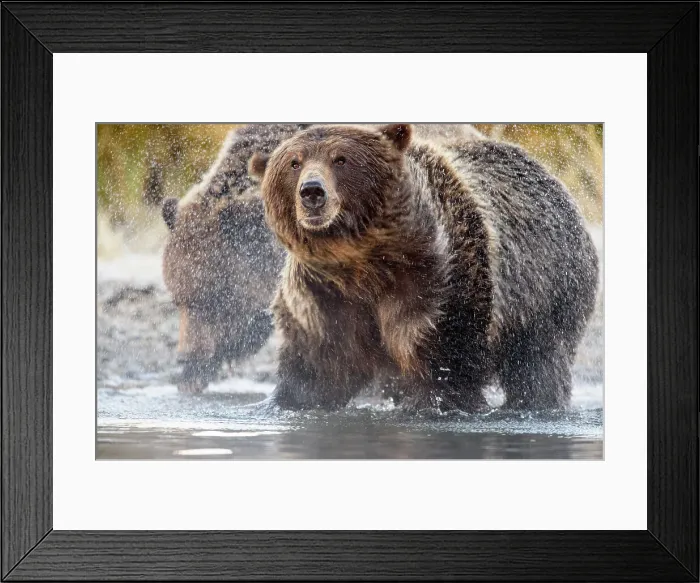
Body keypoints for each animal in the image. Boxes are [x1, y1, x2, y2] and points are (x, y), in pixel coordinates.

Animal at [249, 123, 598, 411]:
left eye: (341, 159)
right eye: (294, 162)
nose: (312, 191)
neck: (366, 263)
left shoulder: (439, 281)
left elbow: (443, 361)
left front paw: (435, 402)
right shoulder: (322, 295)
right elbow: (316, 367)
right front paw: (286, 401)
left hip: (547, 292)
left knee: (538, 365)